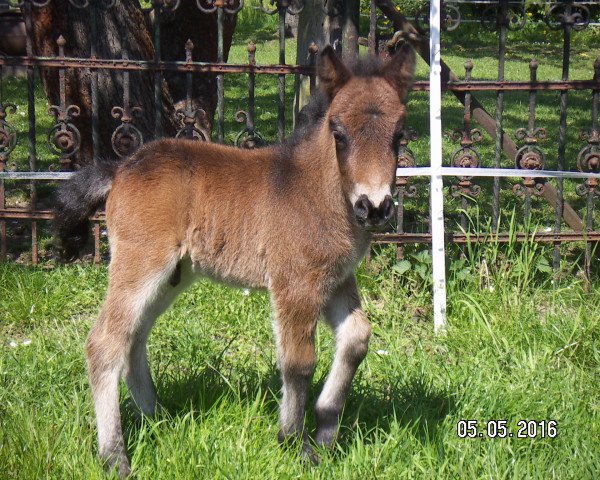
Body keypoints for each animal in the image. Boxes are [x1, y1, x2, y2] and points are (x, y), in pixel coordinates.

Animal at [54, 42, 414, 476]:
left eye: (399, 135)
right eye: (339, 133)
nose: (375, 207)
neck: (321, 192)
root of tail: (121, 167)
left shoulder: (336, 279)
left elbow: (357, 338)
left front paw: (326, 433)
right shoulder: (295, 284)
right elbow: (298, 362)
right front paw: (294, 443)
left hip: (173, 275)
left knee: (133, 337)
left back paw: (157, 418)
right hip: (141, 263)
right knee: (104, 343)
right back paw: (114, 457)